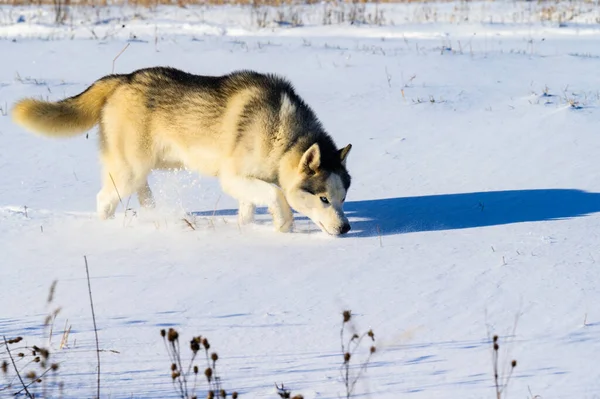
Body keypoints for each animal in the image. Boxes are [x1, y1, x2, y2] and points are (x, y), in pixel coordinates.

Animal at [11, 67, 354, 236]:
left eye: (342, 199)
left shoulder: (248, 180)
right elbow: (276, 194)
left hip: (145, 166)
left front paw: (246, 229)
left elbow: (250, 206)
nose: (345, 228)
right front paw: (283, 225)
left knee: (142, 194)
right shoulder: (233, 177)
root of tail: (122, 79)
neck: (284, 136)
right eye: (323, 199)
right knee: (104, 199)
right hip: (128, 170)